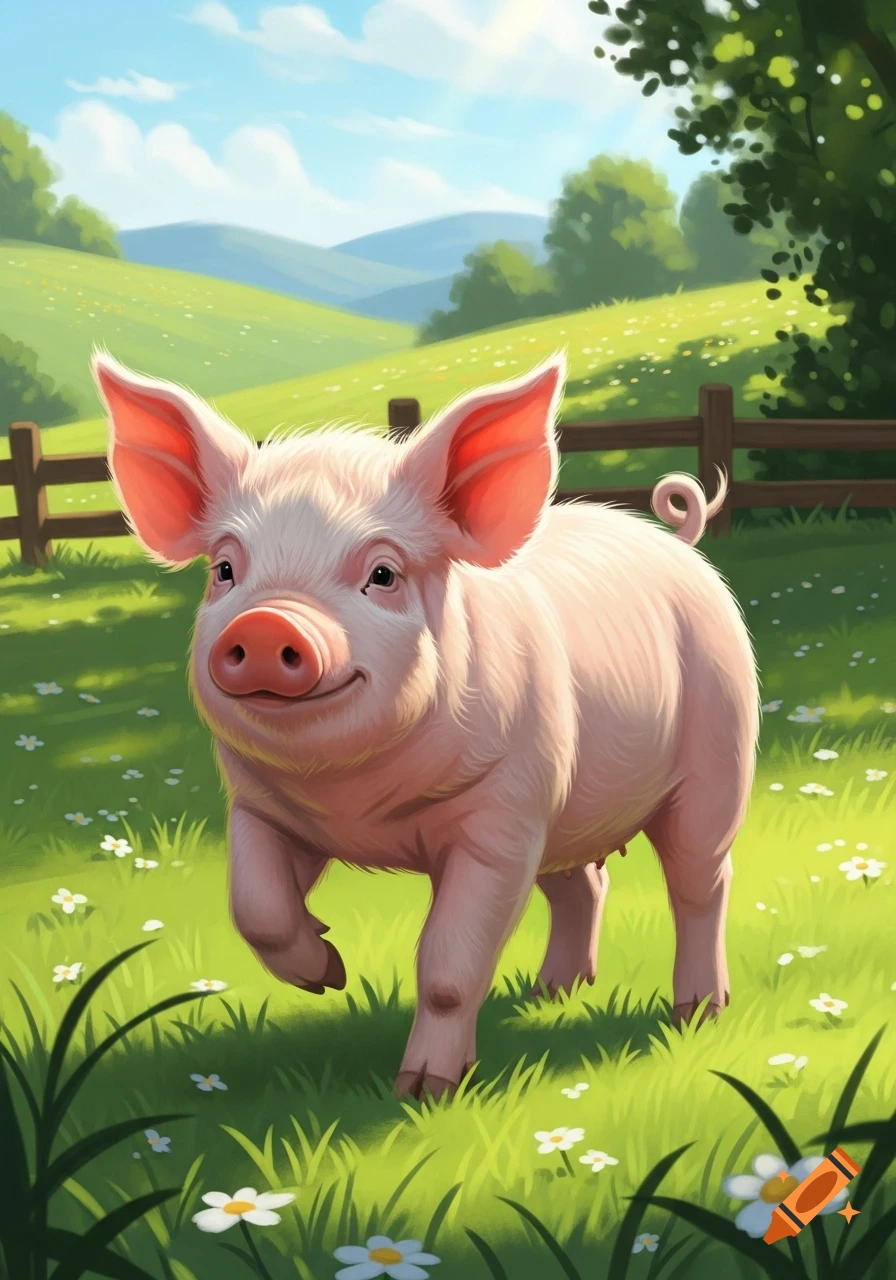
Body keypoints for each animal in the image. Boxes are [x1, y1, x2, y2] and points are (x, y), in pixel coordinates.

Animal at [92, 348, 759, 1102]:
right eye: (226, 569)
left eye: (383, 573)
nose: (265, 625)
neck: (356, 801)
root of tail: (673, 539)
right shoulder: (259, 806)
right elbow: (254, 908)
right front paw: (325, 973)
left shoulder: (501, 818)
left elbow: (447, 961)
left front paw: (423, 1090)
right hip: (565, 812)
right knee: (582, 885)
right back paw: (550, 992)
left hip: (718, 748)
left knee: (702, 881)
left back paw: (696, 1012)